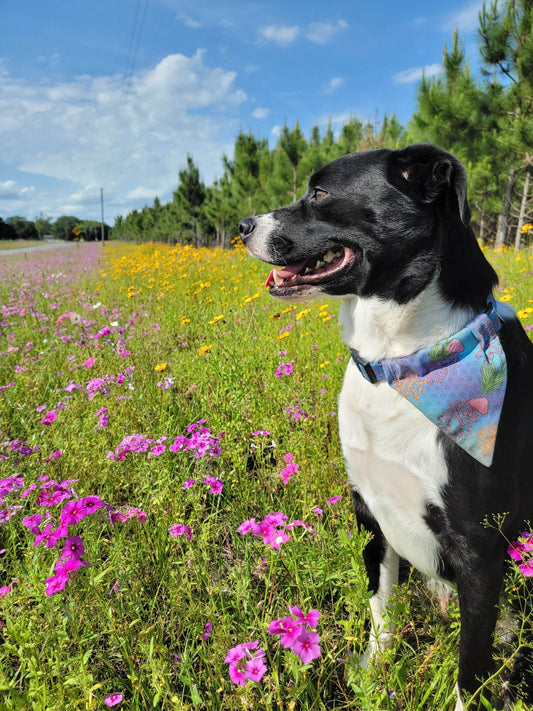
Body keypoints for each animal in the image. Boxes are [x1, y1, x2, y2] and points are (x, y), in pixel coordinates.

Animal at [239, 143, 532, 708]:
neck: (399, 364)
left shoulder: (481, 550)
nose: (243, 225)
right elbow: (381, 604)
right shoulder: (370, 511)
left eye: (320, 193)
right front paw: (375, 669)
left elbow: (471, 667)